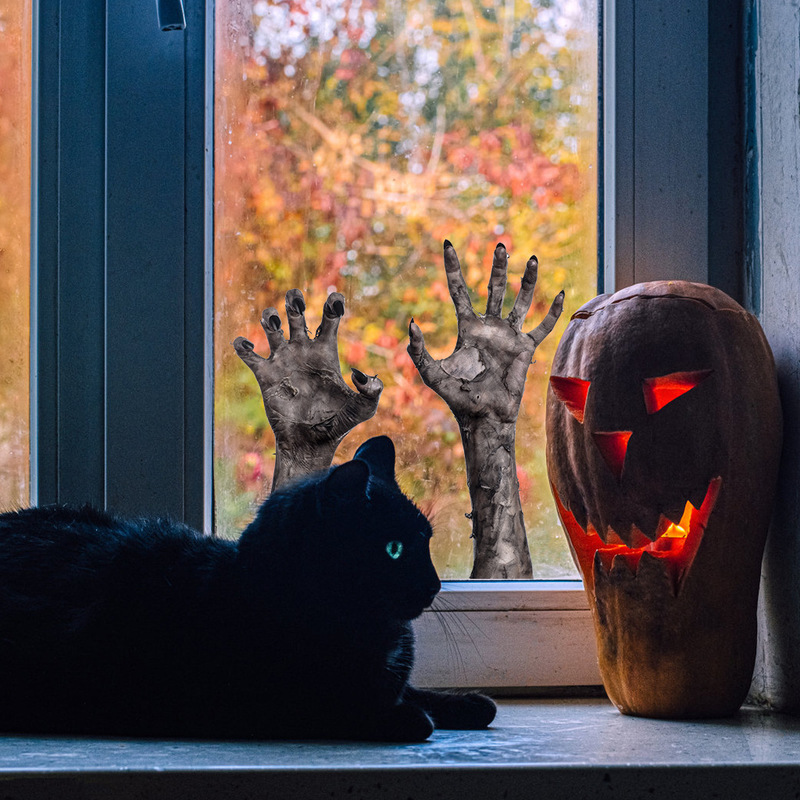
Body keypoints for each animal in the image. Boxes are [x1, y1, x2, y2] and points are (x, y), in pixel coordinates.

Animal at [0, 434, 494, 740]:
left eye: (426, 542)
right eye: (394, 549)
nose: (434, 584)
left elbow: (425, 692)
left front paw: (468, 703)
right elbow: (391, 711)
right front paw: (411, 717)